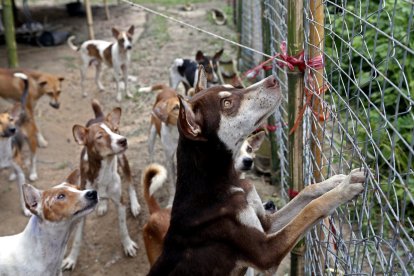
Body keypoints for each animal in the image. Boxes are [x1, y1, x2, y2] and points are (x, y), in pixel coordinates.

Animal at [61, 99, 139, 270]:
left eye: (114, 130)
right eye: (100, 136)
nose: (123, 140)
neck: (104, 171)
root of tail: (98, 115)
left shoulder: (120, 203)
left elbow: (123, 228)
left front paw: (128, 245)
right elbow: (77, 239)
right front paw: (71, 259)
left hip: (123, 160)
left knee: (130, 182)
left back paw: (135, 205)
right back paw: (102, 204)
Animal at [148, 67, 366, 276]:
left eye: (232, 88)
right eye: (227, 103)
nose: (273, 79)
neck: (228, 180)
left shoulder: (266, 223)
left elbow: (307, 192)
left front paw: (335, 181)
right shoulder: (266, 252)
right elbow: (312, 208)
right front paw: (345, 188)